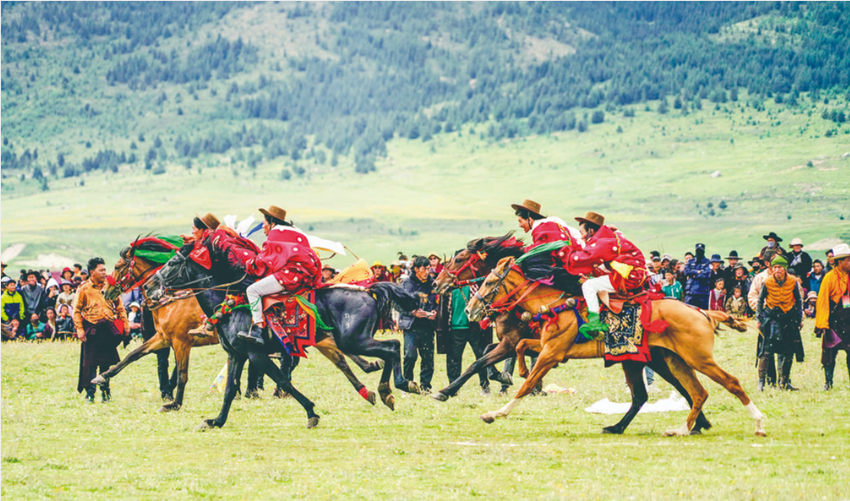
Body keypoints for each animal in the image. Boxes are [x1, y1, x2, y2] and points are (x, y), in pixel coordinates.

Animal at [144, 248, 420, 430]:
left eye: (172, 263)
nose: (148, 287)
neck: (230, 305)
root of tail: (368, 290)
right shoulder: (236, 354)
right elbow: (230, 389)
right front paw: (216, 421)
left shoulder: (255, 354)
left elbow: (283, 381)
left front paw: (311, 413)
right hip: (349, 340)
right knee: (384, 351)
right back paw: (387, 391)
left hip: (353, 339)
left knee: (392, 347)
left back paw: (397, 386)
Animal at [432, 234, 716, 435]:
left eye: (459, 260)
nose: (436, 284)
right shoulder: (517, 341)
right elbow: (485, 358)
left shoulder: (518, 342)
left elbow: (484, 361)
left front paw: (450, 390)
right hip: (650, 358)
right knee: (670, 388)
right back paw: (695, 423)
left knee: (676, 387)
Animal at [466, 256, 766, 437]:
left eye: (489, 282)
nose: (470, 310)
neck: (555, 304)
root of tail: (701, 311)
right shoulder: (546, 347)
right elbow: (520, 349)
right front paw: (517, 372)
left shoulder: (552, 353)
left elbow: (526, 386)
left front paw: (496, 413)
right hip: (672, 360)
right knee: (695, 393)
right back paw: (677, 429)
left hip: (697, 358)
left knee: (730, 383)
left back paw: (758, 424)